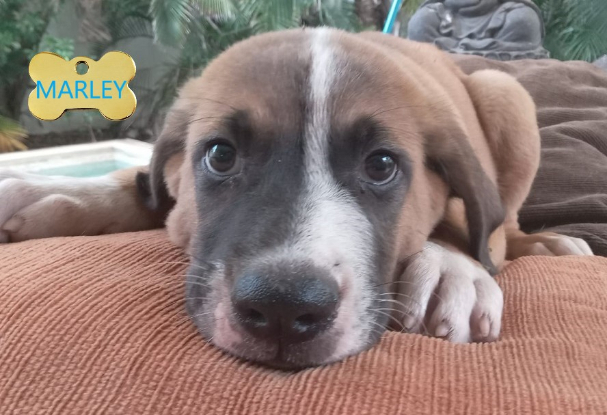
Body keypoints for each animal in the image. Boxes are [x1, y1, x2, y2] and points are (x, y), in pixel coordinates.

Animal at [0, 28, 593, 369]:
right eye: (220, 156)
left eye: (381, 165)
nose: (283, 309)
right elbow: (144, 186)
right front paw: (47, 190)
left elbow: (465, 226)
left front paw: (452, 269)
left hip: (507, 96)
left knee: (504, 226)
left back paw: (549, 245)